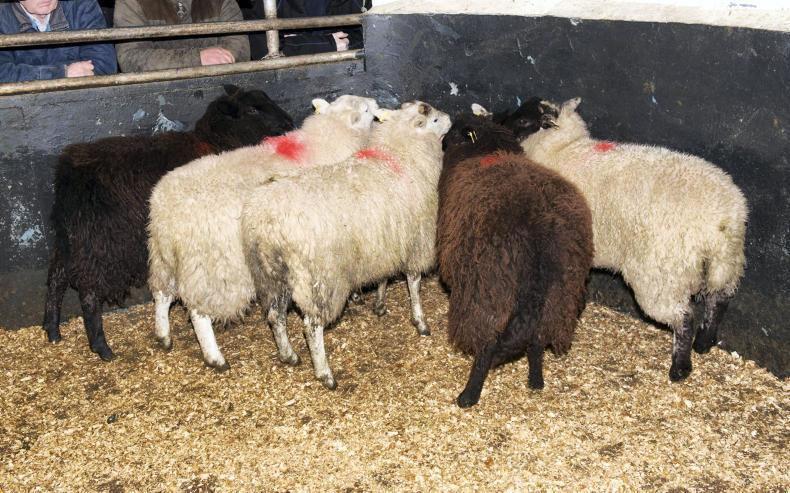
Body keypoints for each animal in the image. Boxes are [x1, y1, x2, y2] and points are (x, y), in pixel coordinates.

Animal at [42, 85, 294, 361]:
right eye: (252, 110)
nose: (288, 123)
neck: (217, 142)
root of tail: (69, 175)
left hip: (71, 238)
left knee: (56, 278)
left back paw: (52, 330)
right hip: (103, 243)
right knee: (88, 293)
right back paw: (101, 346)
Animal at [147, 95, 380, 371]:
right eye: (365, 109)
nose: (375, 102)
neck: (326, 139)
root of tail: (168, 215)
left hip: (164, 258)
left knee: (162, 294)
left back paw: (163, 335)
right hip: (213, 267)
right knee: (198, 312)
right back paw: (215, 357)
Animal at [241, 101, 451, 389]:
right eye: (435, 120)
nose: (451, 118)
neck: (400, 154)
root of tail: (267, 223)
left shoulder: (382, 240)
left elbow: (383, 277)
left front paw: (380, 304)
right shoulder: (414, 242)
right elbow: (414, 285)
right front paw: (420, 322)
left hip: (270, 275)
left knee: (275, 316)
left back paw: (288, 355)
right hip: (318, 279)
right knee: (311, 326)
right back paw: (324, 373)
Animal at [437, 110, 593, 407]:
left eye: (454, 132)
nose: (442, 141)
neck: (488, 151)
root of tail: (541, 229)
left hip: (491, 289)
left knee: (488, 343)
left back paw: (468, 395)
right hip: (560, 291)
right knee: (537, 338)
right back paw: (536, 381)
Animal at [504, 97, 748, 381]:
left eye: (523, 120)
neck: (562, 150)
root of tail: (724, 218)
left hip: (661, 274)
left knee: (684, 317)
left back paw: (680, 368)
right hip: (726, 262)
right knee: (718, 299)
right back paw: (704, 343)